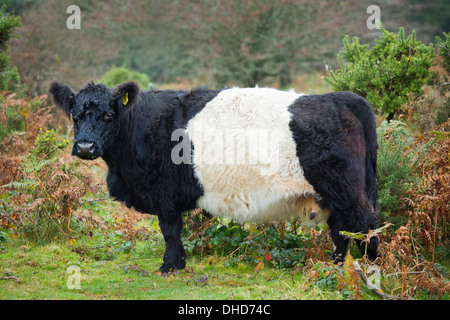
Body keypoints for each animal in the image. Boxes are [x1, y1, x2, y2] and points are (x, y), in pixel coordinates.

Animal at [50, 81, 380, 272]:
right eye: (74, 116)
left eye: (108, 115)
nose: (85, 146)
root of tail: (340, 98)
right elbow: (175, 231)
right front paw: (179, 263)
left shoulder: (164, 194)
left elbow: (170, 230)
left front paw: (170, 266)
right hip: (335, 195)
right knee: (341, 230)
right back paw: (335, 268)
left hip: (346, 190)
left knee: (365, 225)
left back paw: (374, 269)